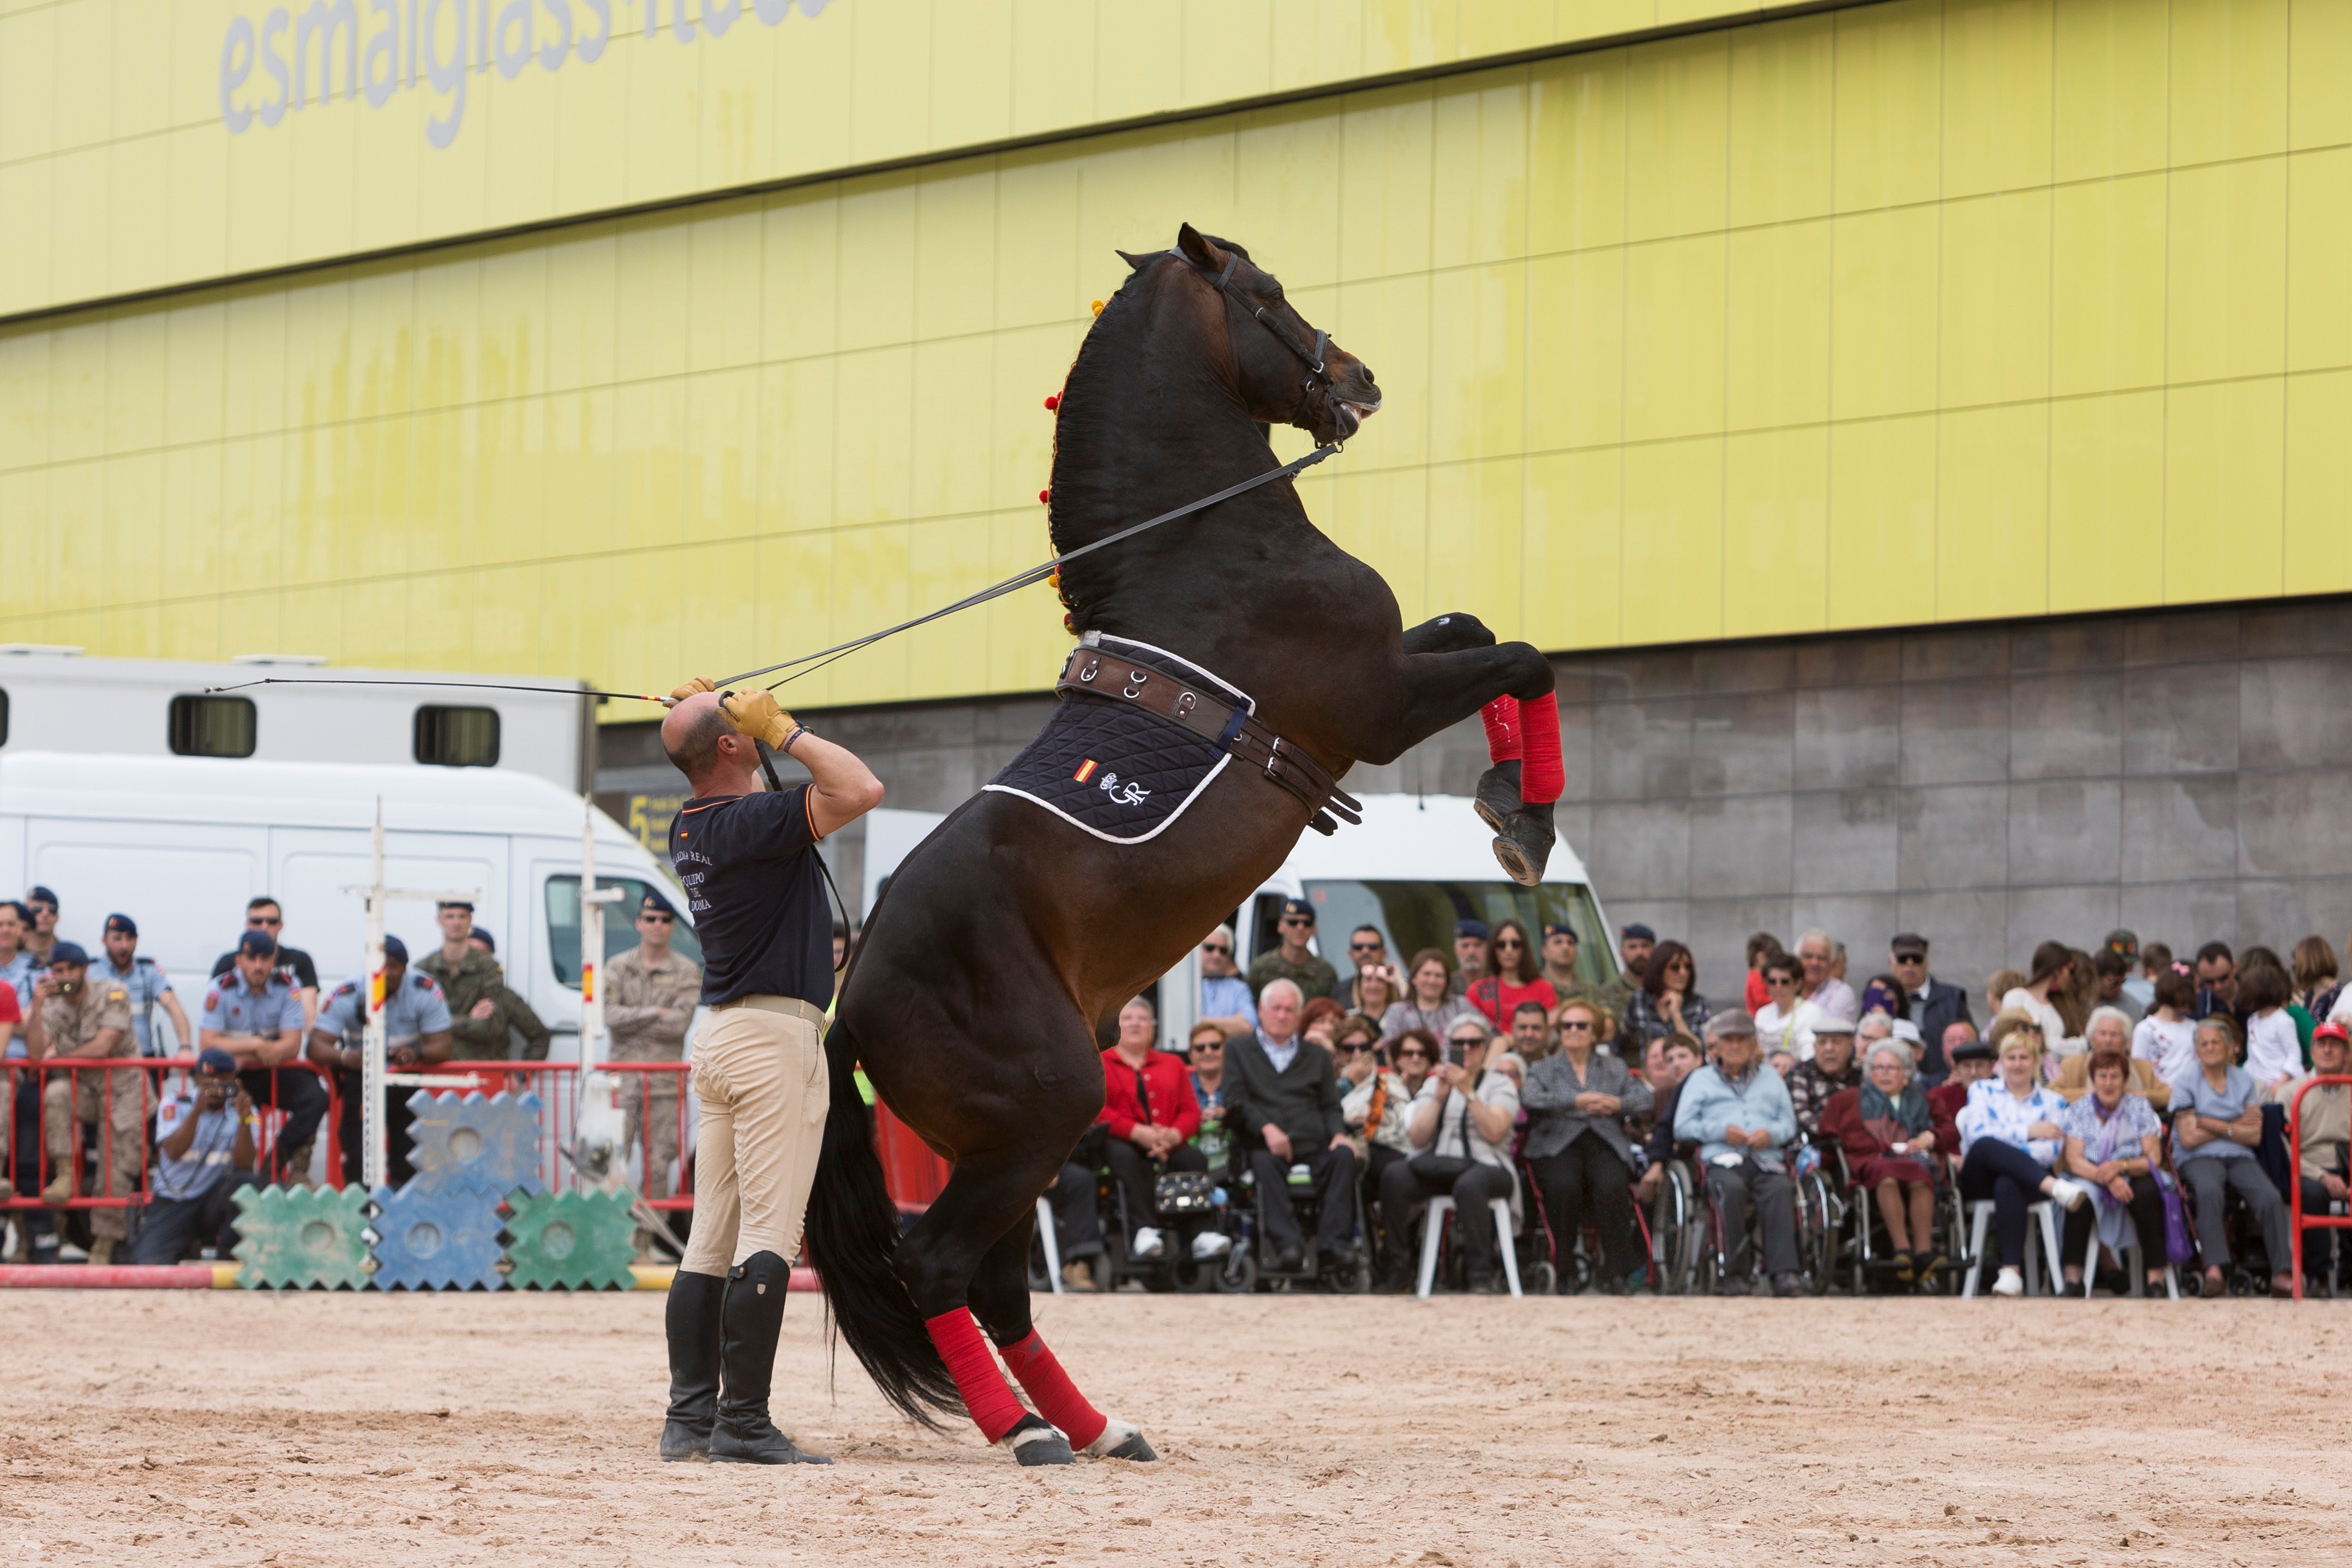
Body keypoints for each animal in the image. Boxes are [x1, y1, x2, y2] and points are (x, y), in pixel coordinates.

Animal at [801, 223, 1562, 1464]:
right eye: (1269, 295)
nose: (1359, 380)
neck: (1210, 546)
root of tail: (849, 993)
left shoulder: (1397, 665)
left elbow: (1478, 628)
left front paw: (1507, 801)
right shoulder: (1378, 705)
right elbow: (1523, 655)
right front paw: (1523, 818)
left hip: (1010, 1143)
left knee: (998, 1281)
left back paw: (1095, 1427)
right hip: (1049, 1111)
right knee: (941, 1263)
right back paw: (1024, 1430)